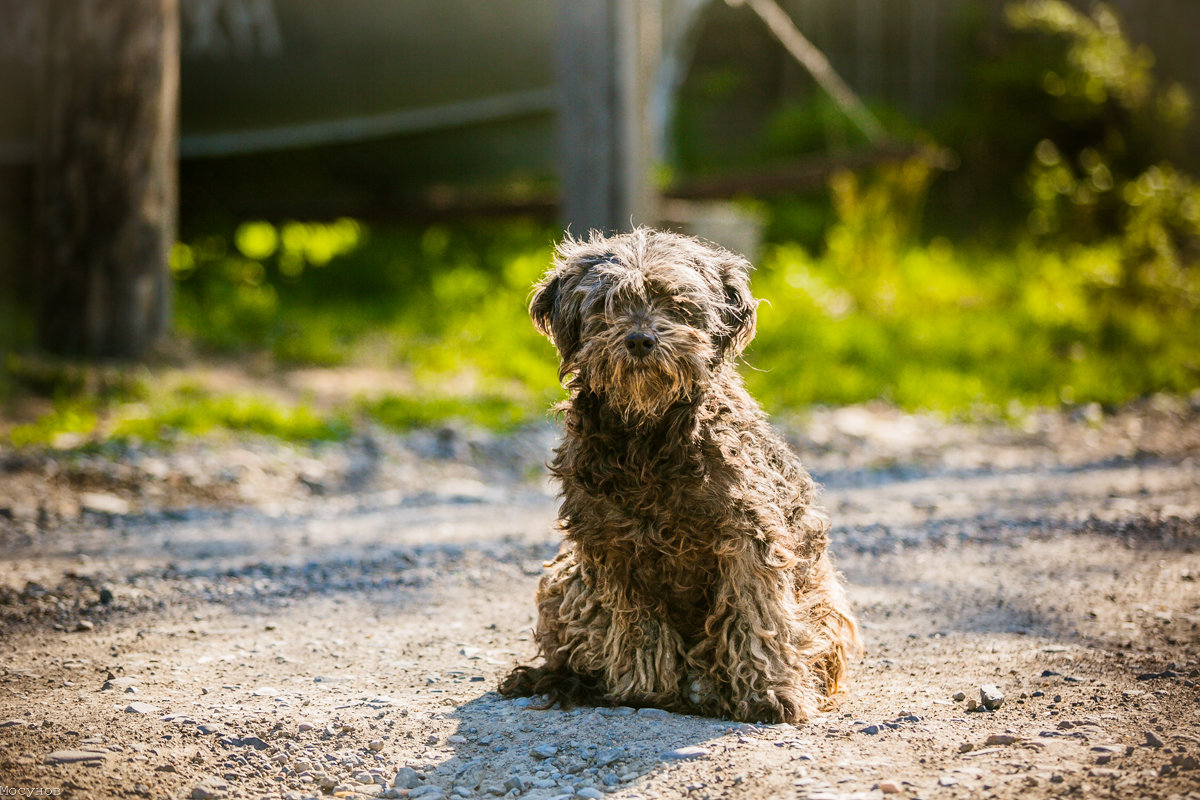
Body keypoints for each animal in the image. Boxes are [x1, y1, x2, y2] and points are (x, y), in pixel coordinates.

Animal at [501, 227, 859, 724]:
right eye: (607, 304)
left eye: (677, 303)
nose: (640, 340)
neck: (647, 435)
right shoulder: (613, 547)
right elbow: (639, 629)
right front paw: (645, 692)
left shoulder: (749, 539)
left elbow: (757, 619)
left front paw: (770, 693)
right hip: (566, 579)